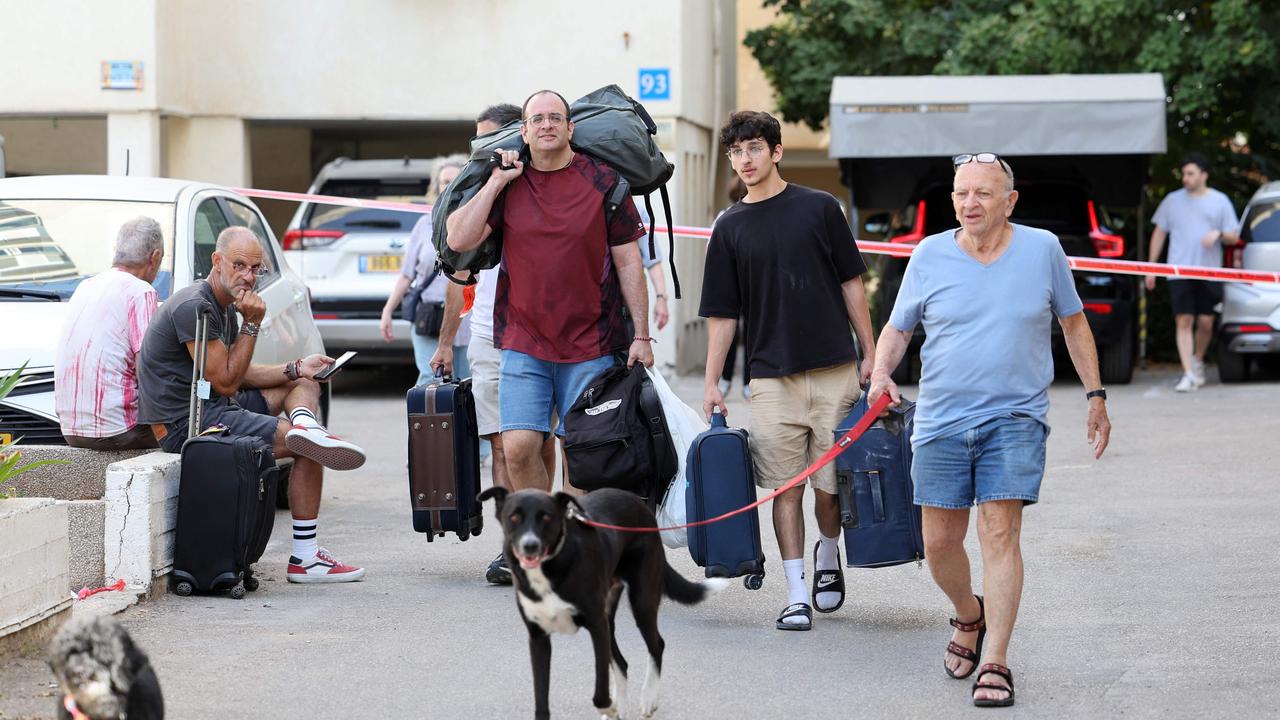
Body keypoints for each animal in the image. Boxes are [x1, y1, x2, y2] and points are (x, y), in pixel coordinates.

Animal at [478, 484, 721, 717]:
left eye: (546, 517)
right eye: (514, 517)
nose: (530, 545)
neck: (549, 567)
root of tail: (639, 504)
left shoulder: (596, 626)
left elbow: (600, 693)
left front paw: (609, 707)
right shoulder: (538, 638)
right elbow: (541, 699)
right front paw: (612, 709)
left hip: (641, 601)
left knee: (657, 645)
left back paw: (647, 700)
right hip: (609, 617)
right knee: (622, 662)